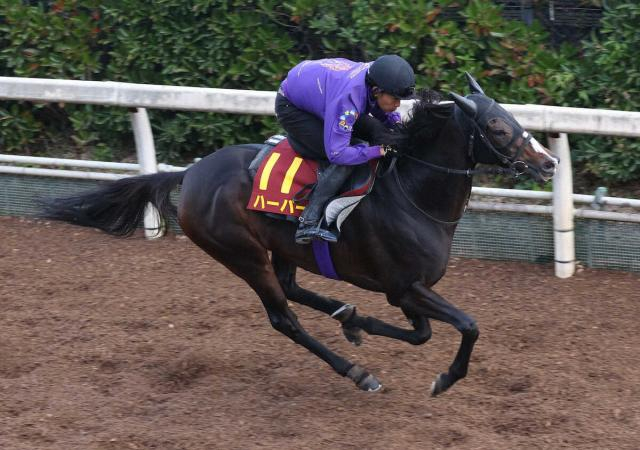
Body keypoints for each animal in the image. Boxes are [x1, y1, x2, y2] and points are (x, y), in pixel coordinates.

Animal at [42, 74, 556, 398]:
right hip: (242, 254)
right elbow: (466, 326)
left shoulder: (408, 290)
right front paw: (445, 379)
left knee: (291, 288)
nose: (548, 162)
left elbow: (421, 334)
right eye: (496, 126)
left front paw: (358, 322)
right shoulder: (404, 287)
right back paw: (356, 372)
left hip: (280, 245)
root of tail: (191, 174)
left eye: (511, 116)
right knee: (283, 317)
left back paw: (346, 315)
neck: (413, 194)